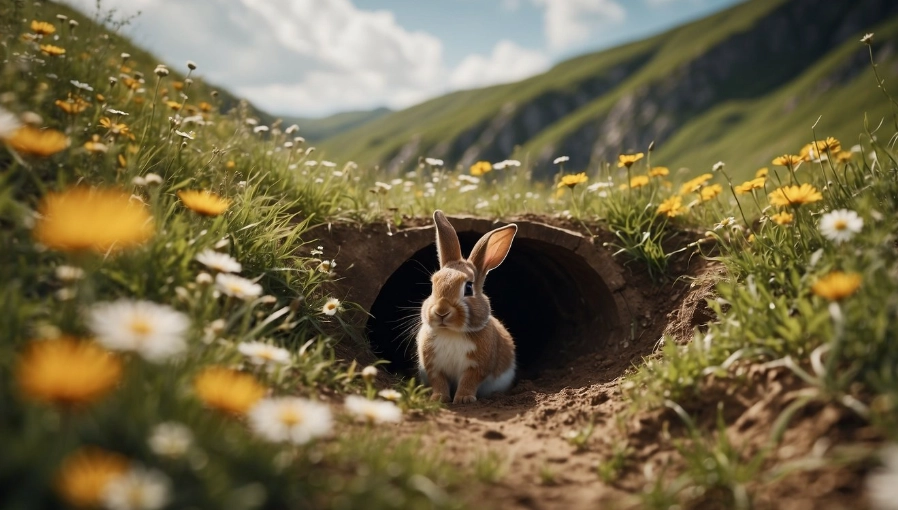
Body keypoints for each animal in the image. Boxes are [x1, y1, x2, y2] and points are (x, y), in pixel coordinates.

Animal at [415, 210, 517, 404]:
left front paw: (464, 399)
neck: (451, 333)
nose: (441, 311)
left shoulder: (477, 367)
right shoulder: (434, 367)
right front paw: (439, 398)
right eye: (433, 285)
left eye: (469, 287)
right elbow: (439, 381)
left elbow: (469, 381)